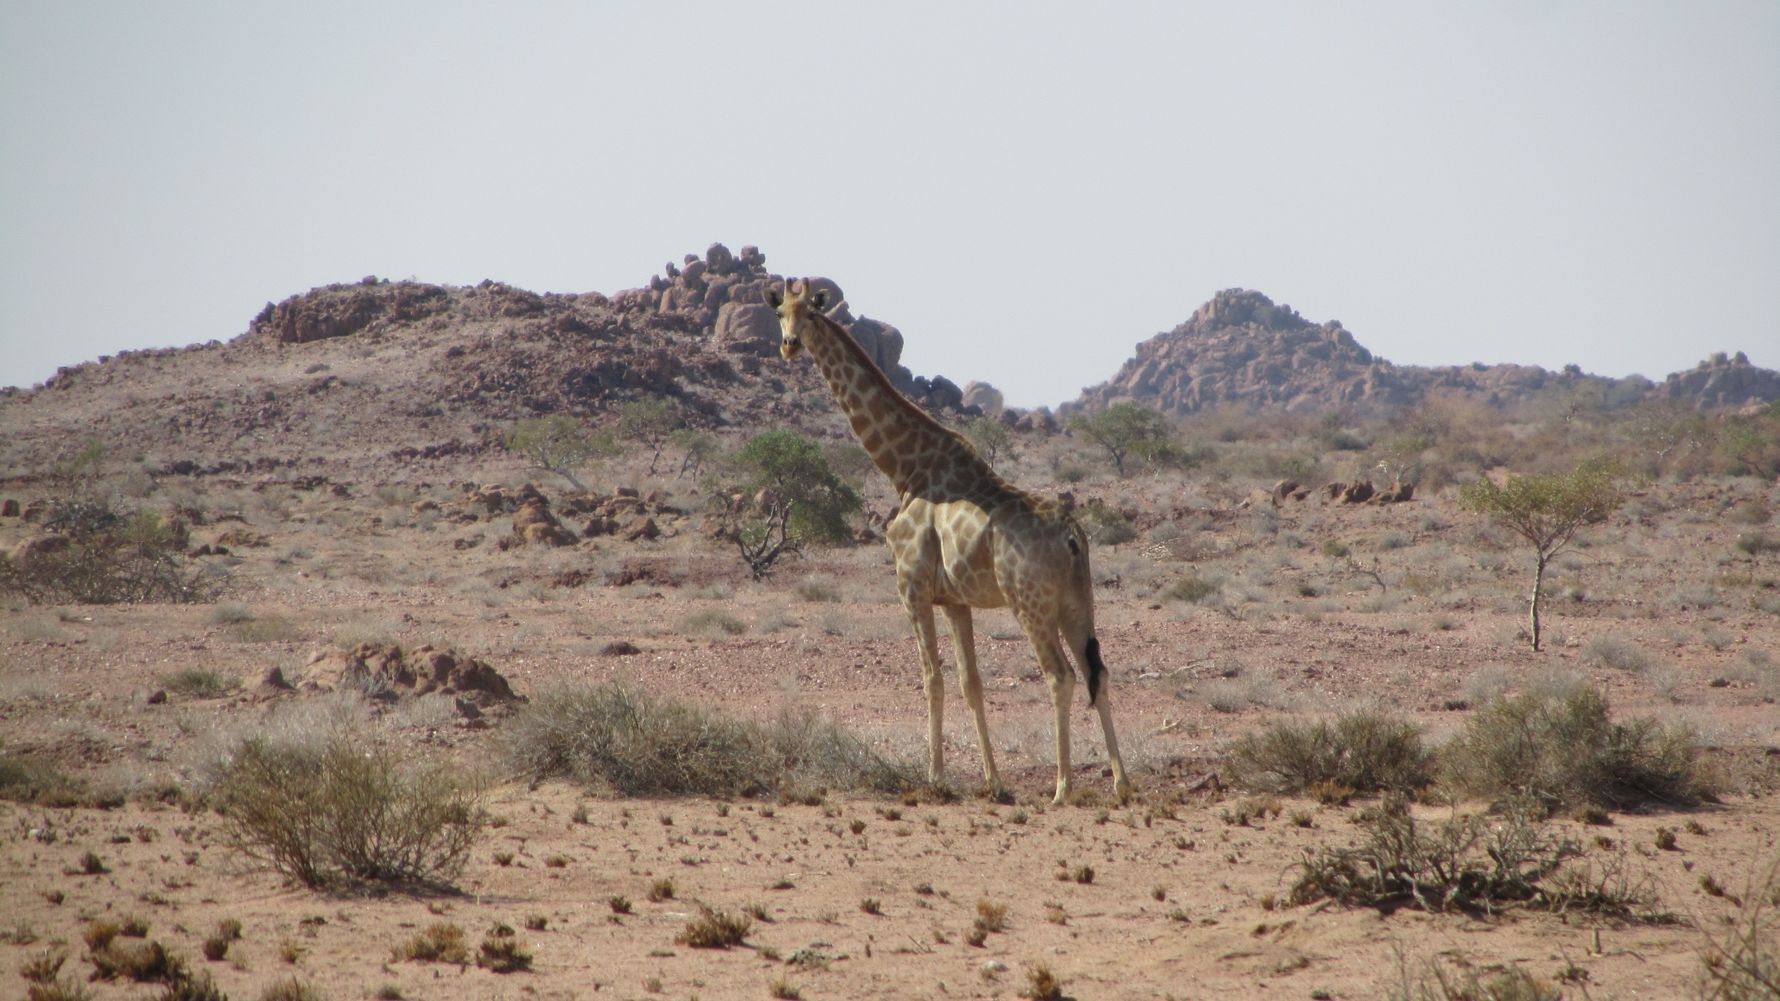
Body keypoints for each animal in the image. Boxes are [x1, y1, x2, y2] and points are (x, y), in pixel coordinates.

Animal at [765, 278, 1131, 804]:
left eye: (810, 315)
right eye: (780, 314)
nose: (790, 346)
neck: (904, 468)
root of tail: (1072, 536)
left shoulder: (911, 586)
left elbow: (932, 678)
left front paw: (935, 774)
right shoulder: (956, 601)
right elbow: (970, 682)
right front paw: (993, 780)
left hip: (1029, 603)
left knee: (1059, 676)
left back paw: (1062, 787)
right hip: (1077, 602)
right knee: (1095, 671)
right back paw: (1121, 781)